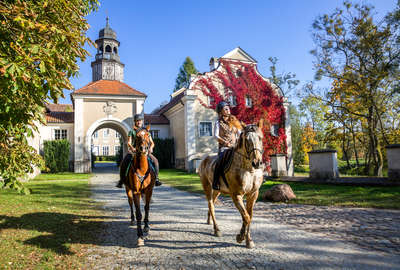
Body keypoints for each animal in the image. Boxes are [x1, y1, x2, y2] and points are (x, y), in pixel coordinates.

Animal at [198, 119, 264, 248]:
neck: (248, 169)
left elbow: (249, 216)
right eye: (246, 139)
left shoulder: (253, 194)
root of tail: (204, 159)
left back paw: (209, 221)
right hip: (207, 186)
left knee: (212, 204)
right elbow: (246, 217)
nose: (257, 163)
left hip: (217, 190)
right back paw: (217, 229)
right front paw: (240, 237)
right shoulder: (236, 195)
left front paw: (249, 240)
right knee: (211, 205)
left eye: (260, 138)